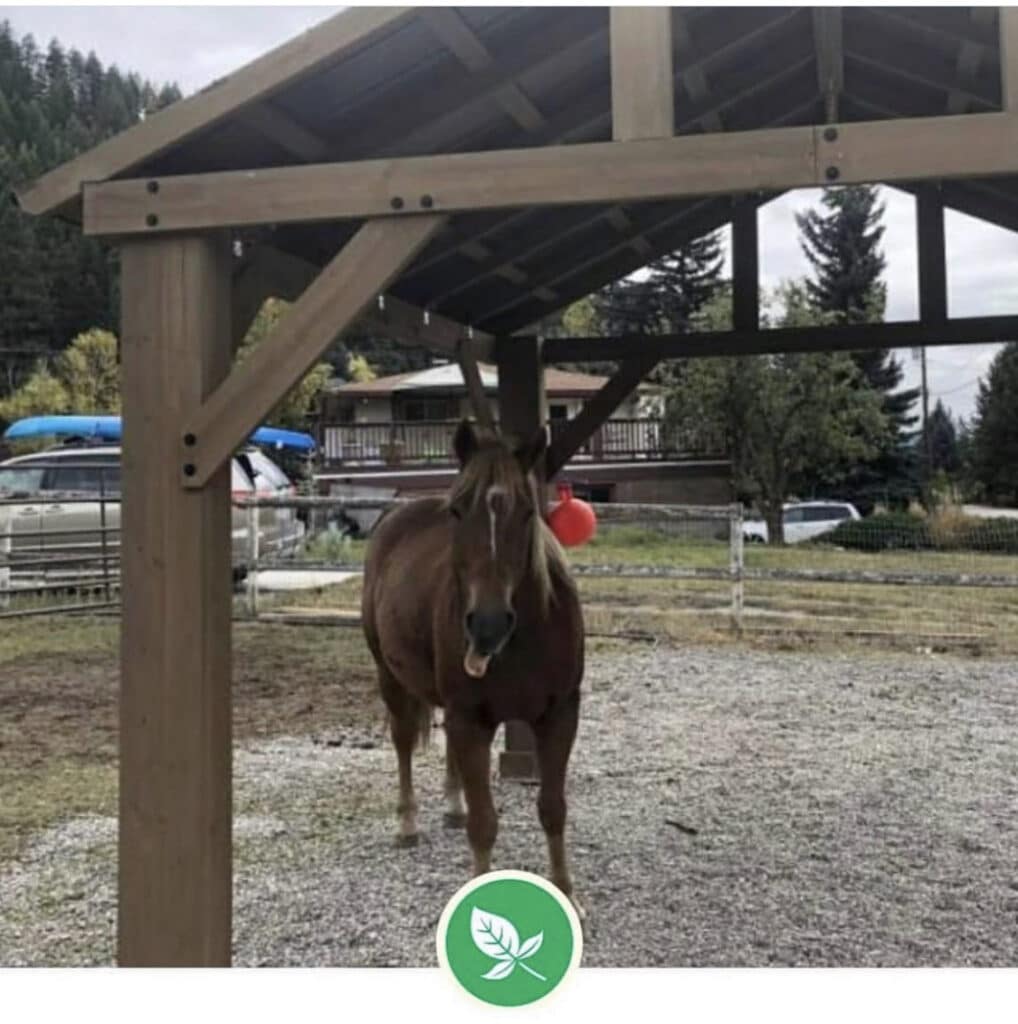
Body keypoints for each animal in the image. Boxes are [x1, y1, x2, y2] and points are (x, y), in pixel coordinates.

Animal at [361, 419, 585, 914]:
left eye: (528, 512)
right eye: (458, 512)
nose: (487, 624)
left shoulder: (560, 713)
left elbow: (553, 808)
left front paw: (565, 890)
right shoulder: (472, 718)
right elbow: (484, 823)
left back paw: (451, 804)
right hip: (389, 675)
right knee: (403, 742)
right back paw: (408, 824)